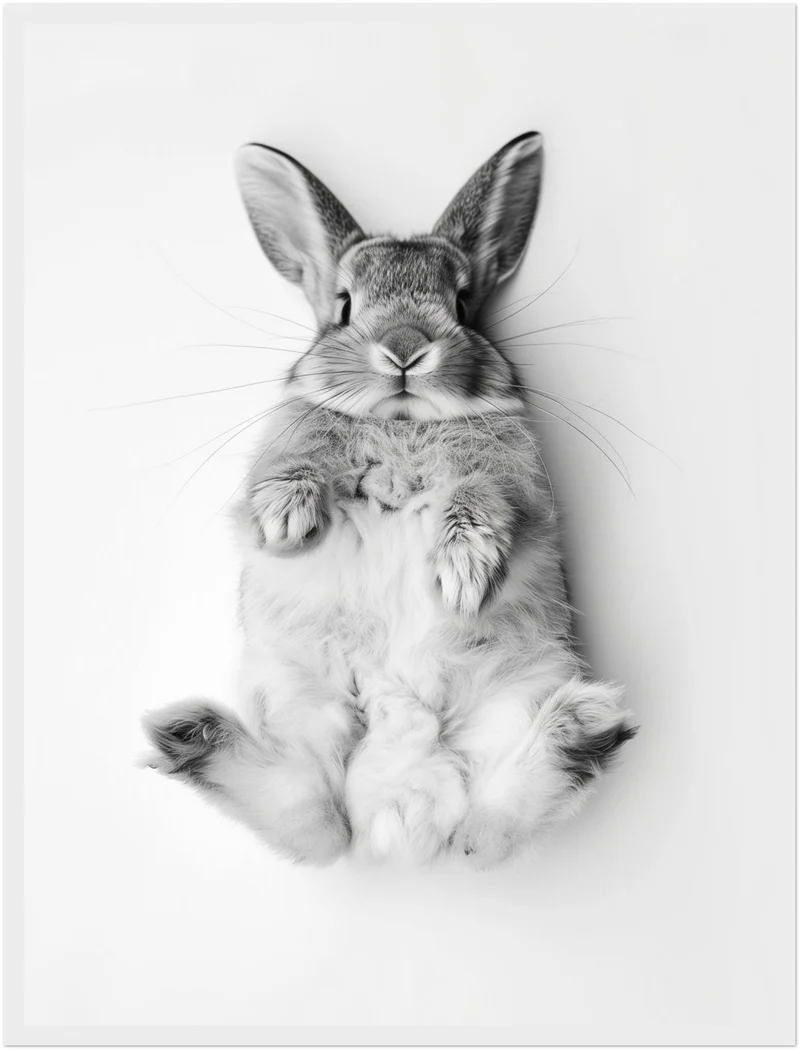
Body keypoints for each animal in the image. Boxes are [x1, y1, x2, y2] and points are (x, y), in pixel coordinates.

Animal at [142, 132, 637, 869]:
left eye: (463, 304)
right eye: (344, 305)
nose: (405, 348)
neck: (403, 423)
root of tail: (399, 808)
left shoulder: (514, 480)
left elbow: (483, 500)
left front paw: (462, 574)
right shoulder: (284, 445)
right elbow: (289, 470)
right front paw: (285, 521)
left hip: (515, 693)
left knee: (487, 823)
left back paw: (583, 725)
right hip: (297, 698)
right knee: (311, 817)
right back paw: (186, 732)